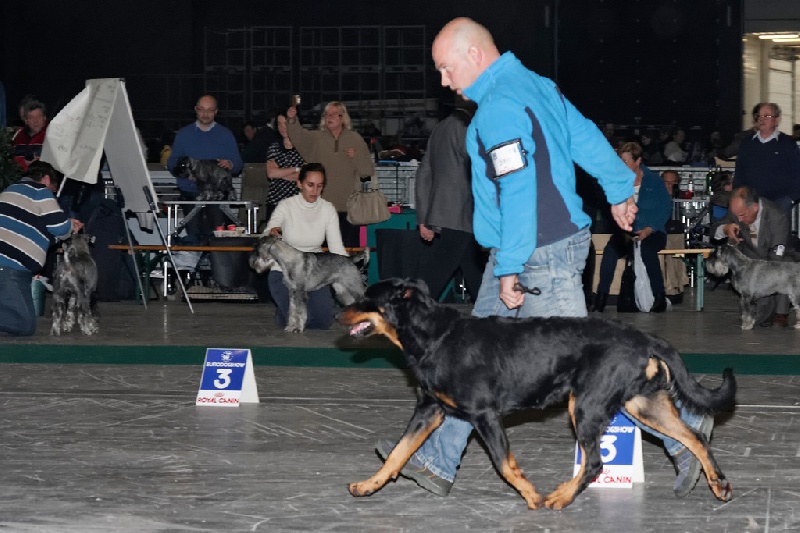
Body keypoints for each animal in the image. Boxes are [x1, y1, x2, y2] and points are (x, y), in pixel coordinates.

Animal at [339, 278, 735, 510]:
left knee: (595, 462)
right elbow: (397, 454)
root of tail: (645, 337)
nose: (339, 312)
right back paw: (717, 482)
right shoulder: (430, 409)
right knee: (694, 436)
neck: (435, 336)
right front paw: (368, 486)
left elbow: (504, 464)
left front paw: (532, 496)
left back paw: (561, 497)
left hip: (587, 405)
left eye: (366, 298)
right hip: (642, 403)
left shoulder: (484, 414)